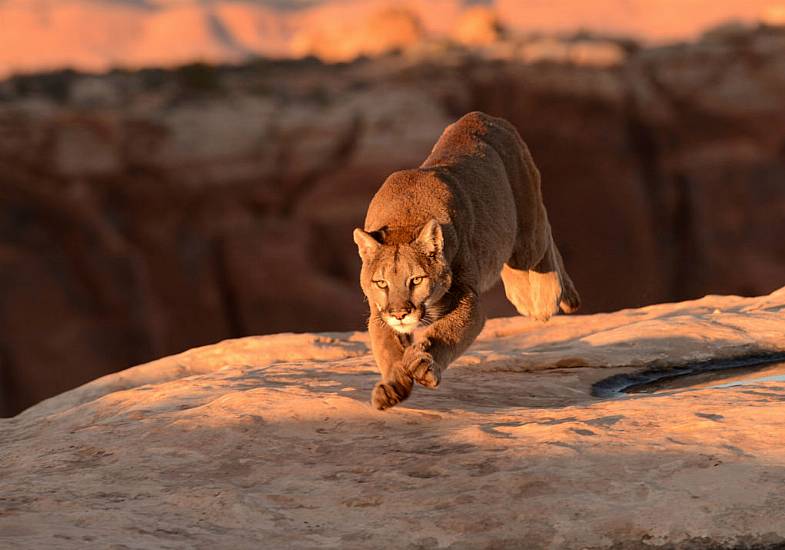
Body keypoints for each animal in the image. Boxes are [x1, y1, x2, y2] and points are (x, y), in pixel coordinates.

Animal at [352, 112, 580, 410]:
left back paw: (546, 298)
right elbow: (388, 349)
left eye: (416, 280)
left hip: (527, 237)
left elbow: (444, 332)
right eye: (381, 283)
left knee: (543, 239)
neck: (405, 220)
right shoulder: (379, 313)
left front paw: (423, 365)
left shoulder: (468, 298)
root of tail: (481, 116)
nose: (400, 313)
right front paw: (392, 388)